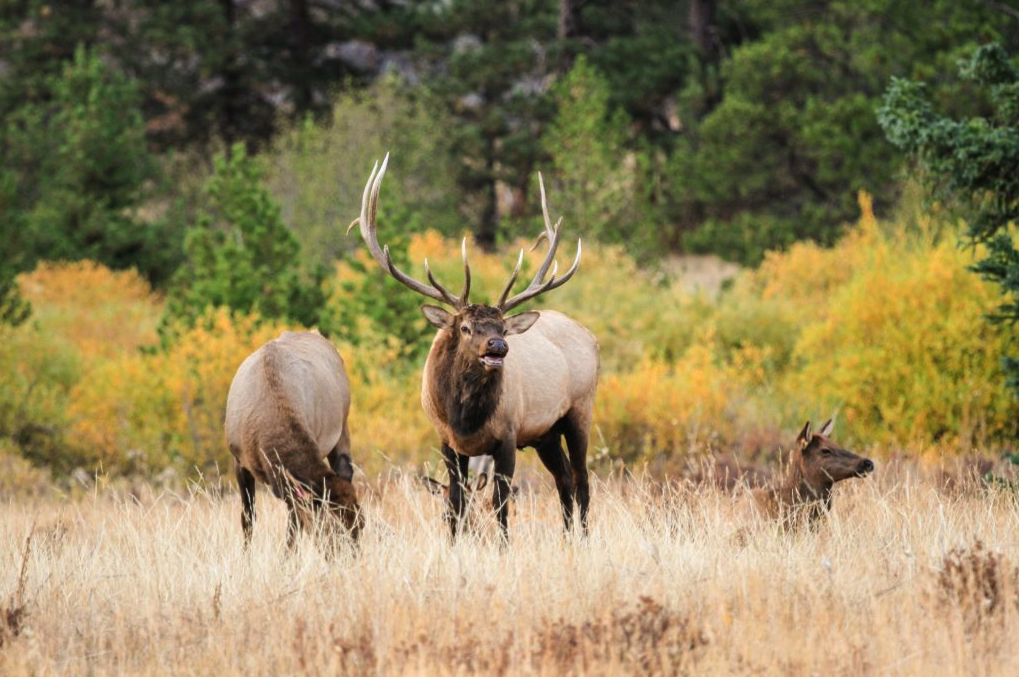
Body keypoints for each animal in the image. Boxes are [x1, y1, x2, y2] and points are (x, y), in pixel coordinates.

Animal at [225, 331, 363, 550]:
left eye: (361, 524)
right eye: (331, 525)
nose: (354, 556)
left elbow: (294, 527)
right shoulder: (239, 460)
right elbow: (248, 518)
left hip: (342, 426)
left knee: (345, 468)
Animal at [351, 154, 600, 540]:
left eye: (502, 327)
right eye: (466, 327)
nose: (498, 346)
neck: (465, 419)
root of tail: (591, 336)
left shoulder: (508, 436)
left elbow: (499, 504)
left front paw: (503, 545)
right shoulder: (447, 441)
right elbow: (455, 501)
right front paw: (454, 542)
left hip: (579, 411)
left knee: (581, 480)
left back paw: (583, 539)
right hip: (545, 434)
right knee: (563, 481)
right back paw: (567, 538)